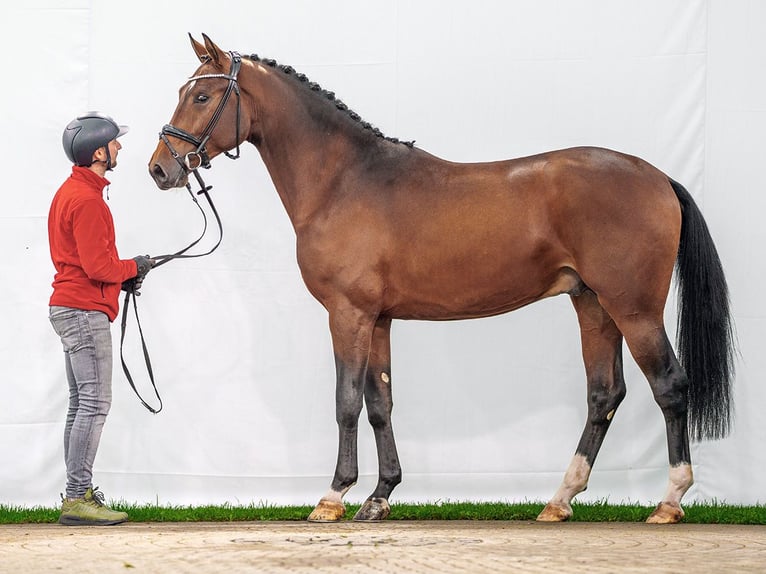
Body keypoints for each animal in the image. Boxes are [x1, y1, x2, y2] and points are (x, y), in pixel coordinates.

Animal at [147, 32, 736, 528]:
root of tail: (657, 177)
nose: (160, 169)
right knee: (604, 394)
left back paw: (668, 502)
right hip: (592, 305)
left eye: (202, 96)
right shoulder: (379, 319)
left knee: (669, 387)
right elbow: (380, 404)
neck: (343, 180)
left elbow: (346, 401)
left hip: (633, 309)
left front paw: (334, 496)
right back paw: (560, 500)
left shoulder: (347, 314)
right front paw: (379, 496)